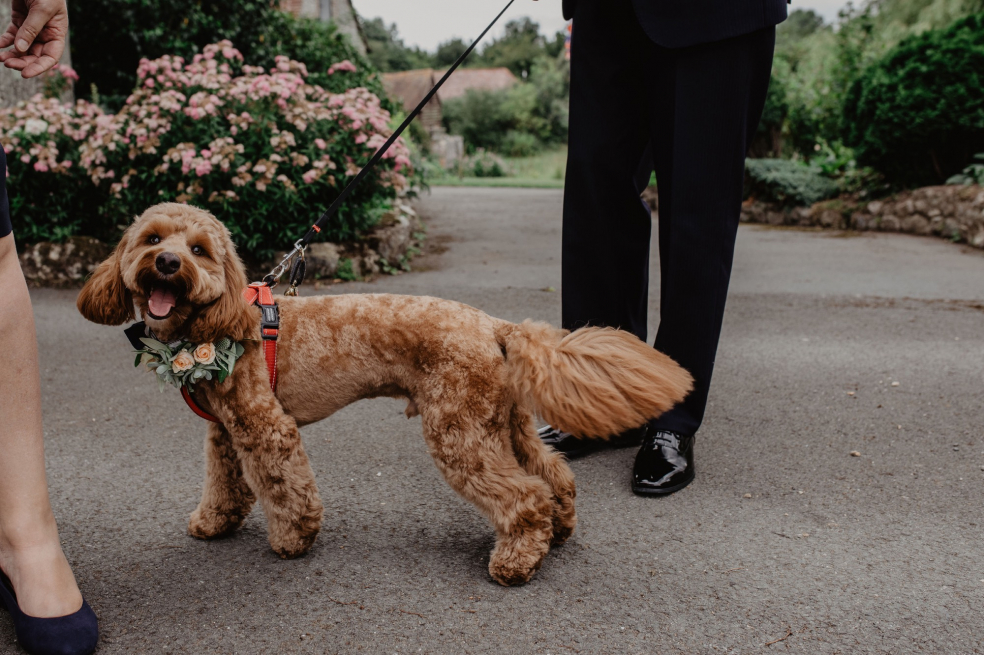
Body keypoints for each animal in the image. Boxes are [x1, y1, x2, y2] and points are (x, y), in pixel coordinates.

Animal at [77, 202, 692, 588]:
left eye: (200, 249)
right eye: (152, 238)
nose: (168, 262)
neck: (217, 322)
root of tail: (494, 325)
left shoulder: (266, 427)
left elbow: (285, 488)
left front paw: (292, 540)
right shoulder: (226, 432)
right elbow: (224, 484)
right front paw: (213, 524)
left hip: (458, 428)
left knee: (523, 496)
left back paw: (516, 562)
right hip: (503, 421)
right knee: (552, 475)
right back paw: (557, 534)